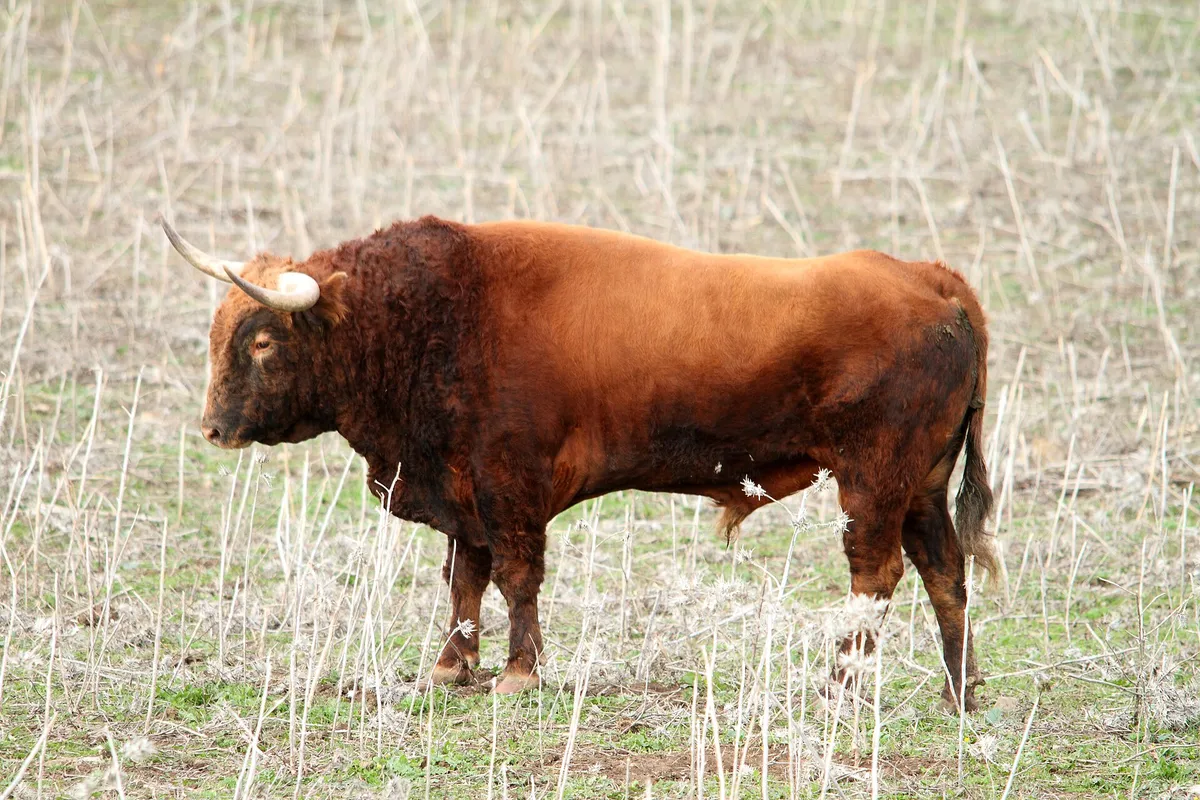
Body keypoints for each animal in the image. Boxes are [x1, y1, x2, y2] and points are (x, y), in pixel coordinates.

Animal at [162, 214, 995, 709]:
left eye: (261, 341)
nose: (213, 428)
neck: (439, 314)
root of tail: (928, 279)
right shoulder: (463, 494)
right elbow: (463, 579)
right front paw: (451, 666)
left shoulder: (509, 490)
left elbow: (515, 578)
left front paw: (517, 673)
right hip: (920, 486)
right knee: (944, 572)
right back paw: (959, 690)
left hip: (872, 483)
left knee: (876, 574)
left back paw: (841, 684)